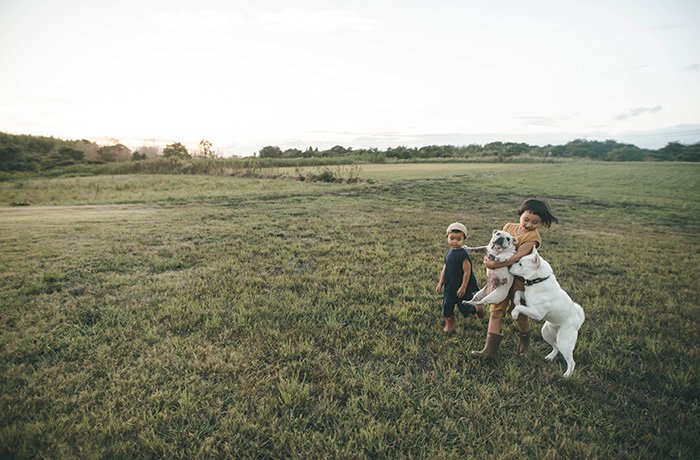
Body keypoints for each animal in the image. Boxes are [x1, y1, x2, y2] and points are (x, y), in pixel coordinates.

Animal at [508, 248, 584, 378]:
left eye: (521, 264)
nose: (508, 266)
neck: (538, 281)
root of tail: (578, 321)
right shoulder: (527, 298)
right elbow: (518, 293)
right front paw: (516, 301)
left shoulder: (536, 313)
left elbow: (519, 308)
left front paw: (514, 313)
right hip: (546, 333)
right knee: (555, 347)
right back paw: (550, 357)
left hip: (564, 342)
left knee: (571, 361)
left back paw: (567, 375)